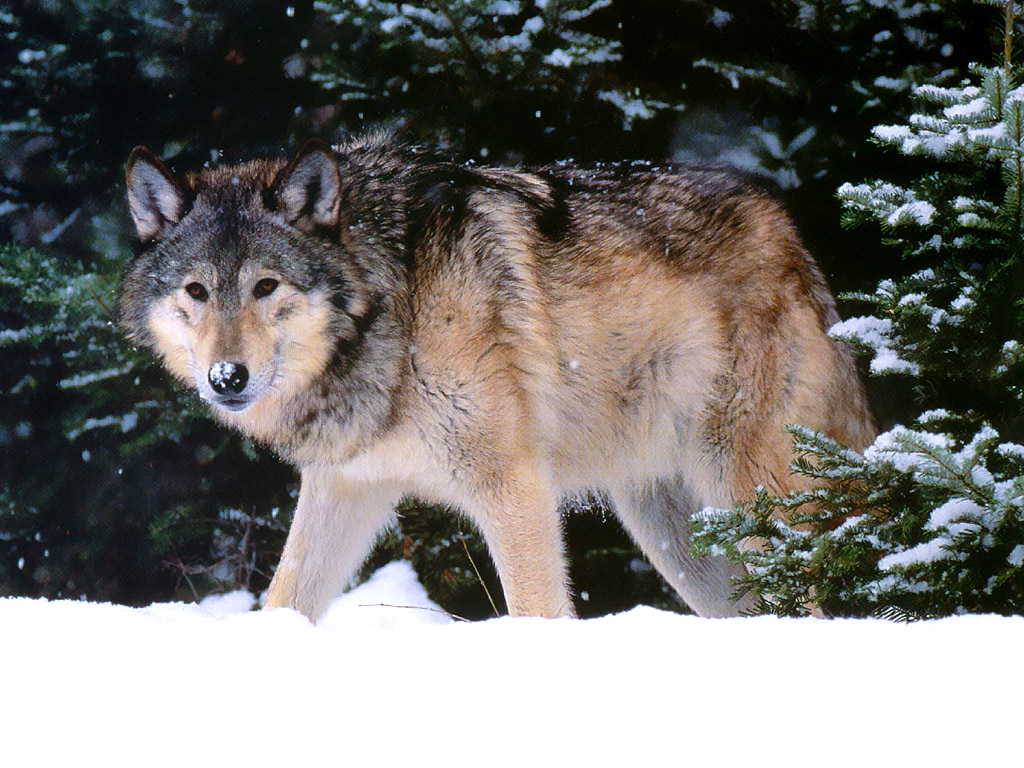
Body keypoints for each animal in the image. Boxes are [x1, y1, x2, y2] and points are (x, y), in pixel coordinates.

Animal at [119, 135, 872, 622]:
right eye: (196, 291)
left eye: (266, 285)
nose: (226, 376)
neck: (393, 307)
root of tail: (794, 242)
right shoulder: (346, 487)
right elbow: (283, 600)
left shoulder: (513, 486)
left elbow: (536, 612)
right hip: (676, 537)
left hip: (750, 501)